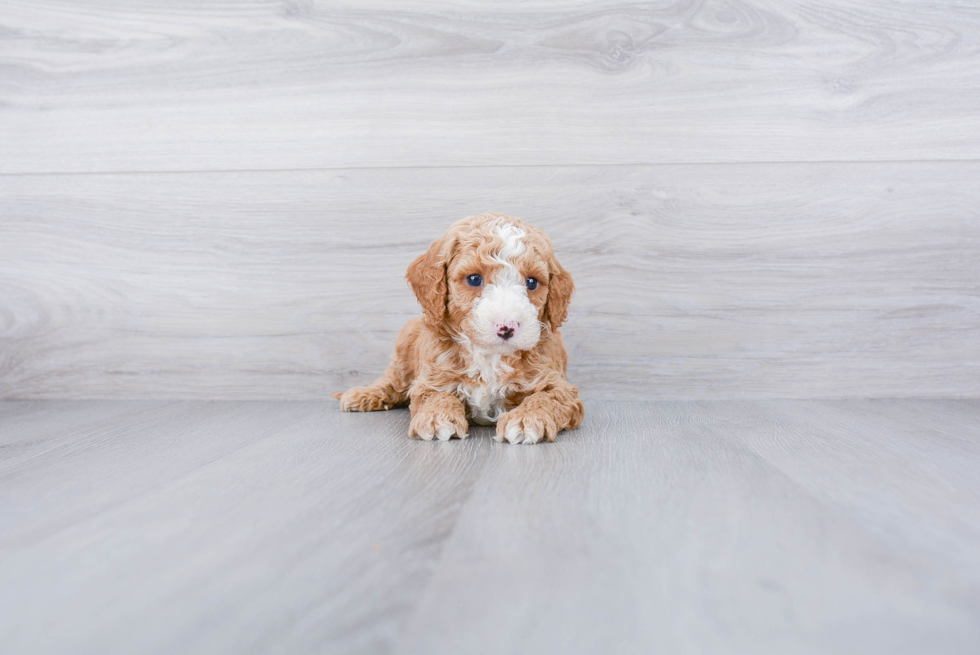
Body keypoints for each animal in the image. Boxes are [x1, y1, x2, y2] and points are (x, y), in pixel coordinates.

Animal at [334, 213, 584, 444]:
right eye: (474, 279)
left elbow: (546, 398)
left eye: (532, 282)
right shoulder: (430, 378)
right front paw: (436, 417)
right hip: (404, 349)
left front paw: (526, 420)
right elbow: (435, 395)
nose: (507, 327)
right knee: (392, 382)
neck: (488, 355)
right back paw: (363, 394)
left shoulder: (558, 386)